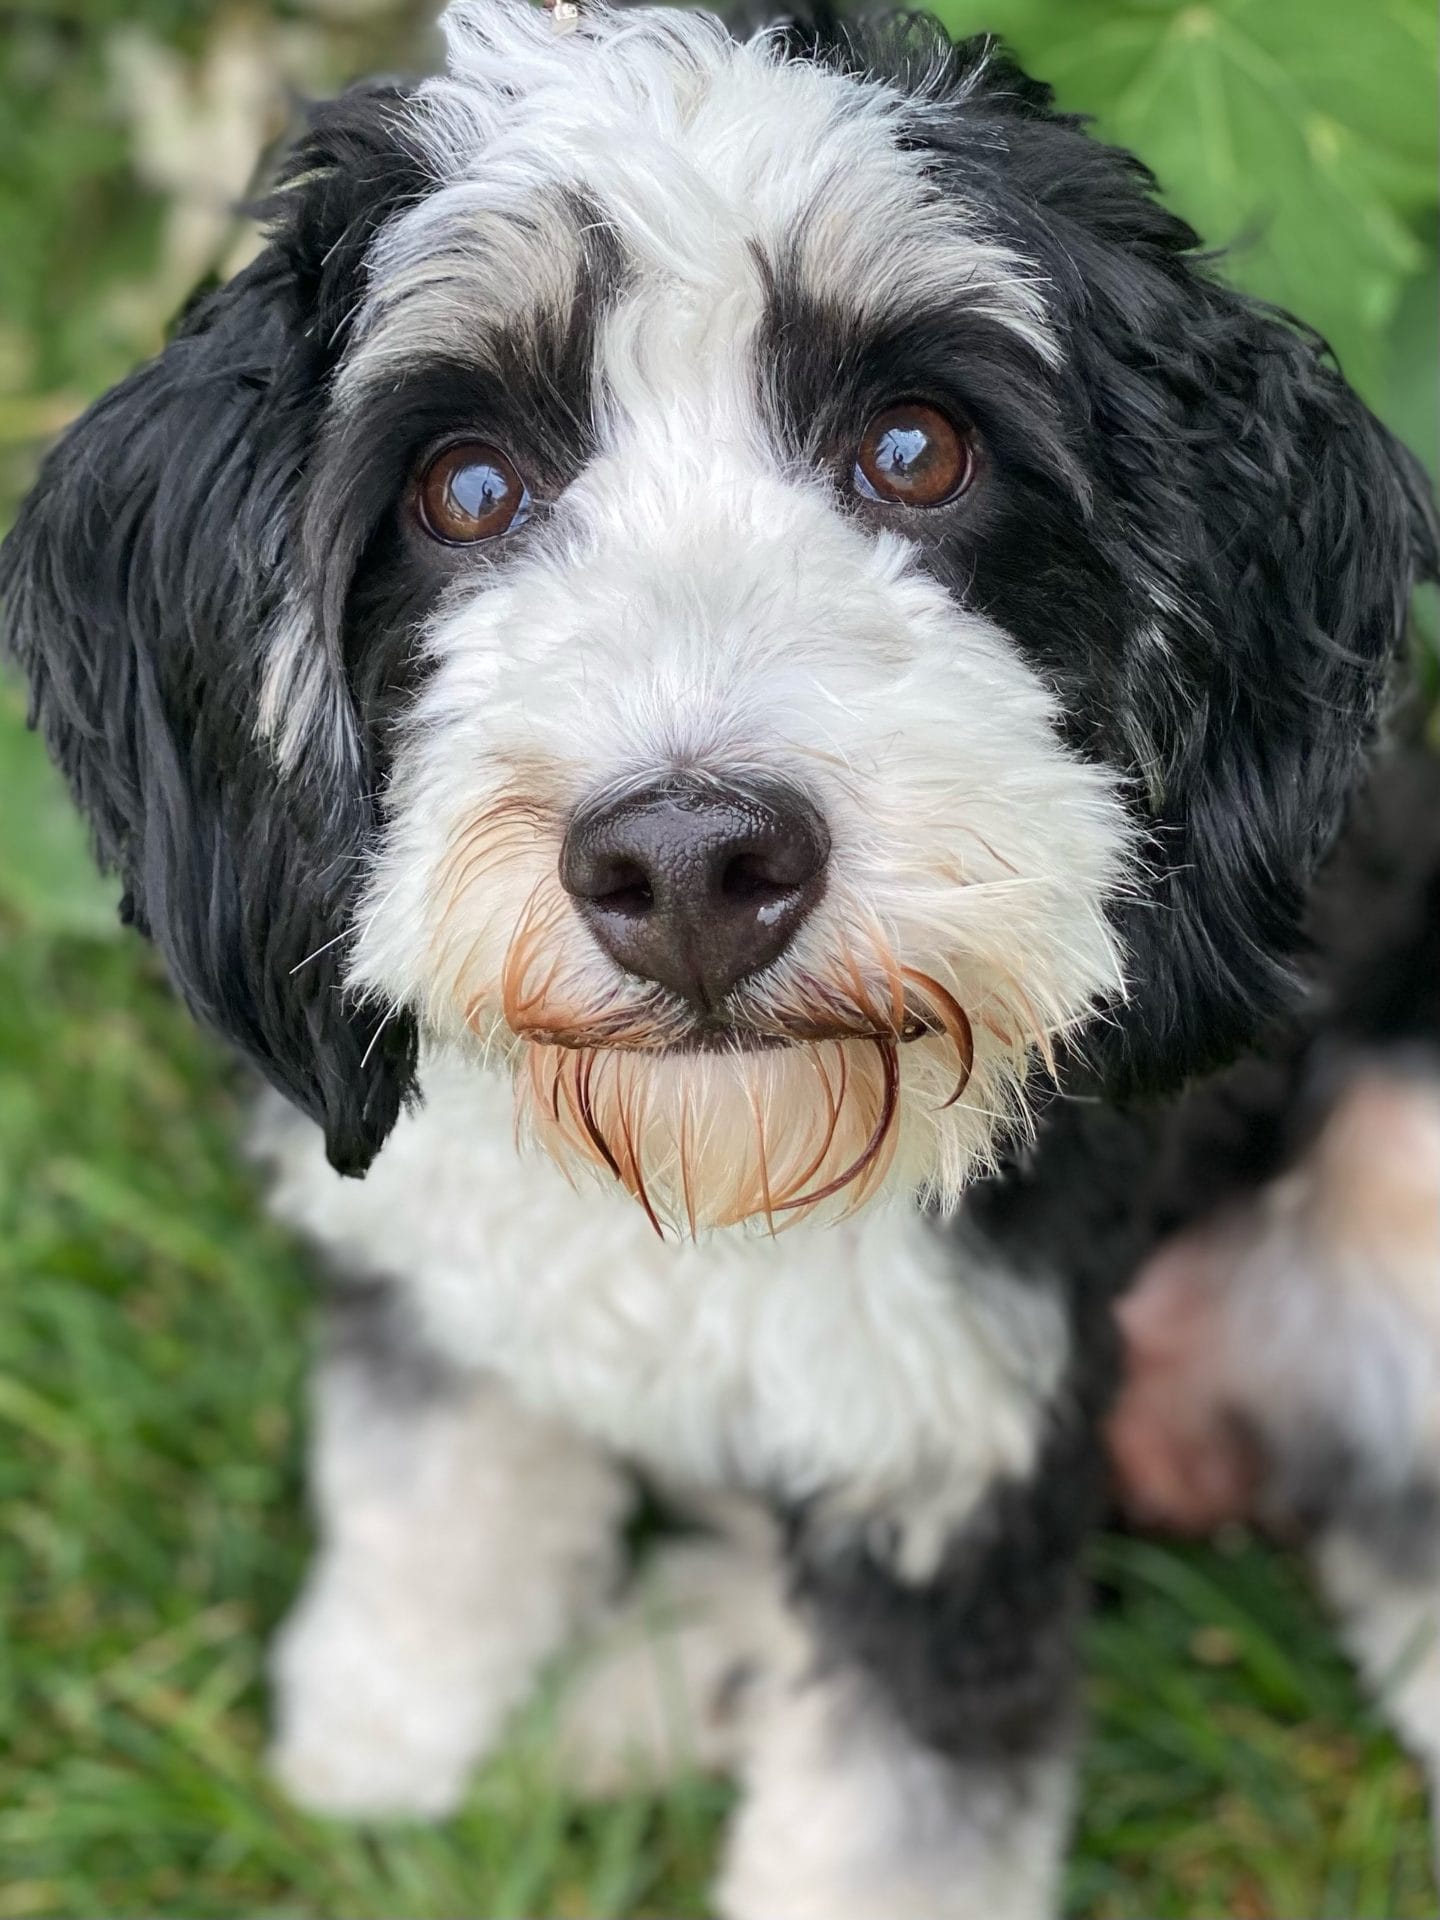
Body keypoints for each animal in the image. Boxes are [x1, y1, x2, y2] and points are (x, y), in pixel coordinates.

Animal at [2, 7, 1440, 1912]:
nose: (689, 866)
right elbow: (434, 1481)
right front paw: (384, 1733)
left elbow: (892, 1818)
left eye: (916, 449)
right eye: (466, 488)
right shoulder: (436, 1258)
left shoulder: (954, 1438)